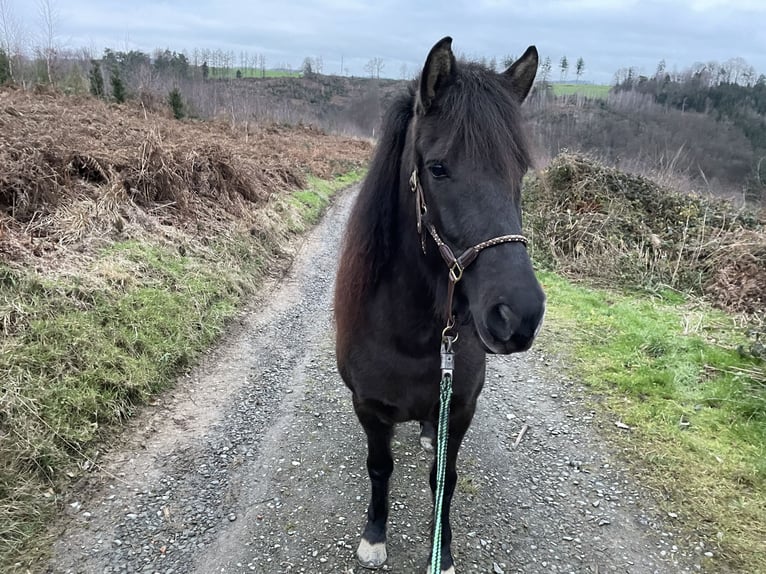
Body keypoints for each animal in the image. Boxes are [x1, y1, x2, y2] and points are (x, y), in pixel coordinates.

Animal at [334, 37, 544, 574]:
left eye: (520, 170)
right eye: (438, 168)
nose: (520, 315)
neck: (413, 336)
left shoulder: (463, 408)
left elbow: (444, 479)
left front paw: (442, 551)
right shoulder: (369, 408)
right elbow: (380, 467)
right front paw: (374, 537)